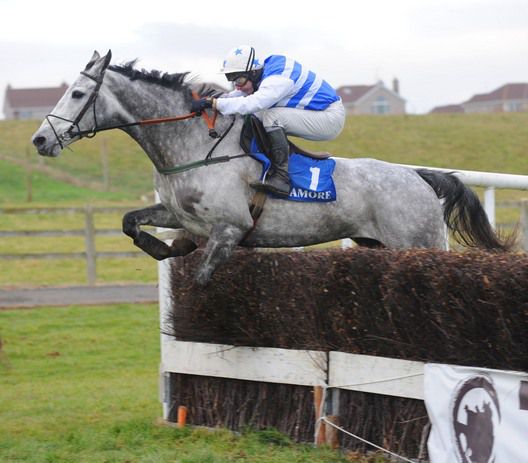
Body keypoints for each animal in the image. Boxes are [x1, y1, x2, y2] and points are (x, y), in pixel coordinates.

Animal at [32, 50, 515, 285]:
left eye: (78, 94)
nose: (40, 139)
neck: (194, 144)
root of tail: (419, 177)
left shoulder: (230, 229)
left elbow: (202, 278)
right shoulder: (177, 213)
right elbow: (131, 222)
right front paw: (164, 248)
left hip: (419, 242)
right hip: (376, 244)